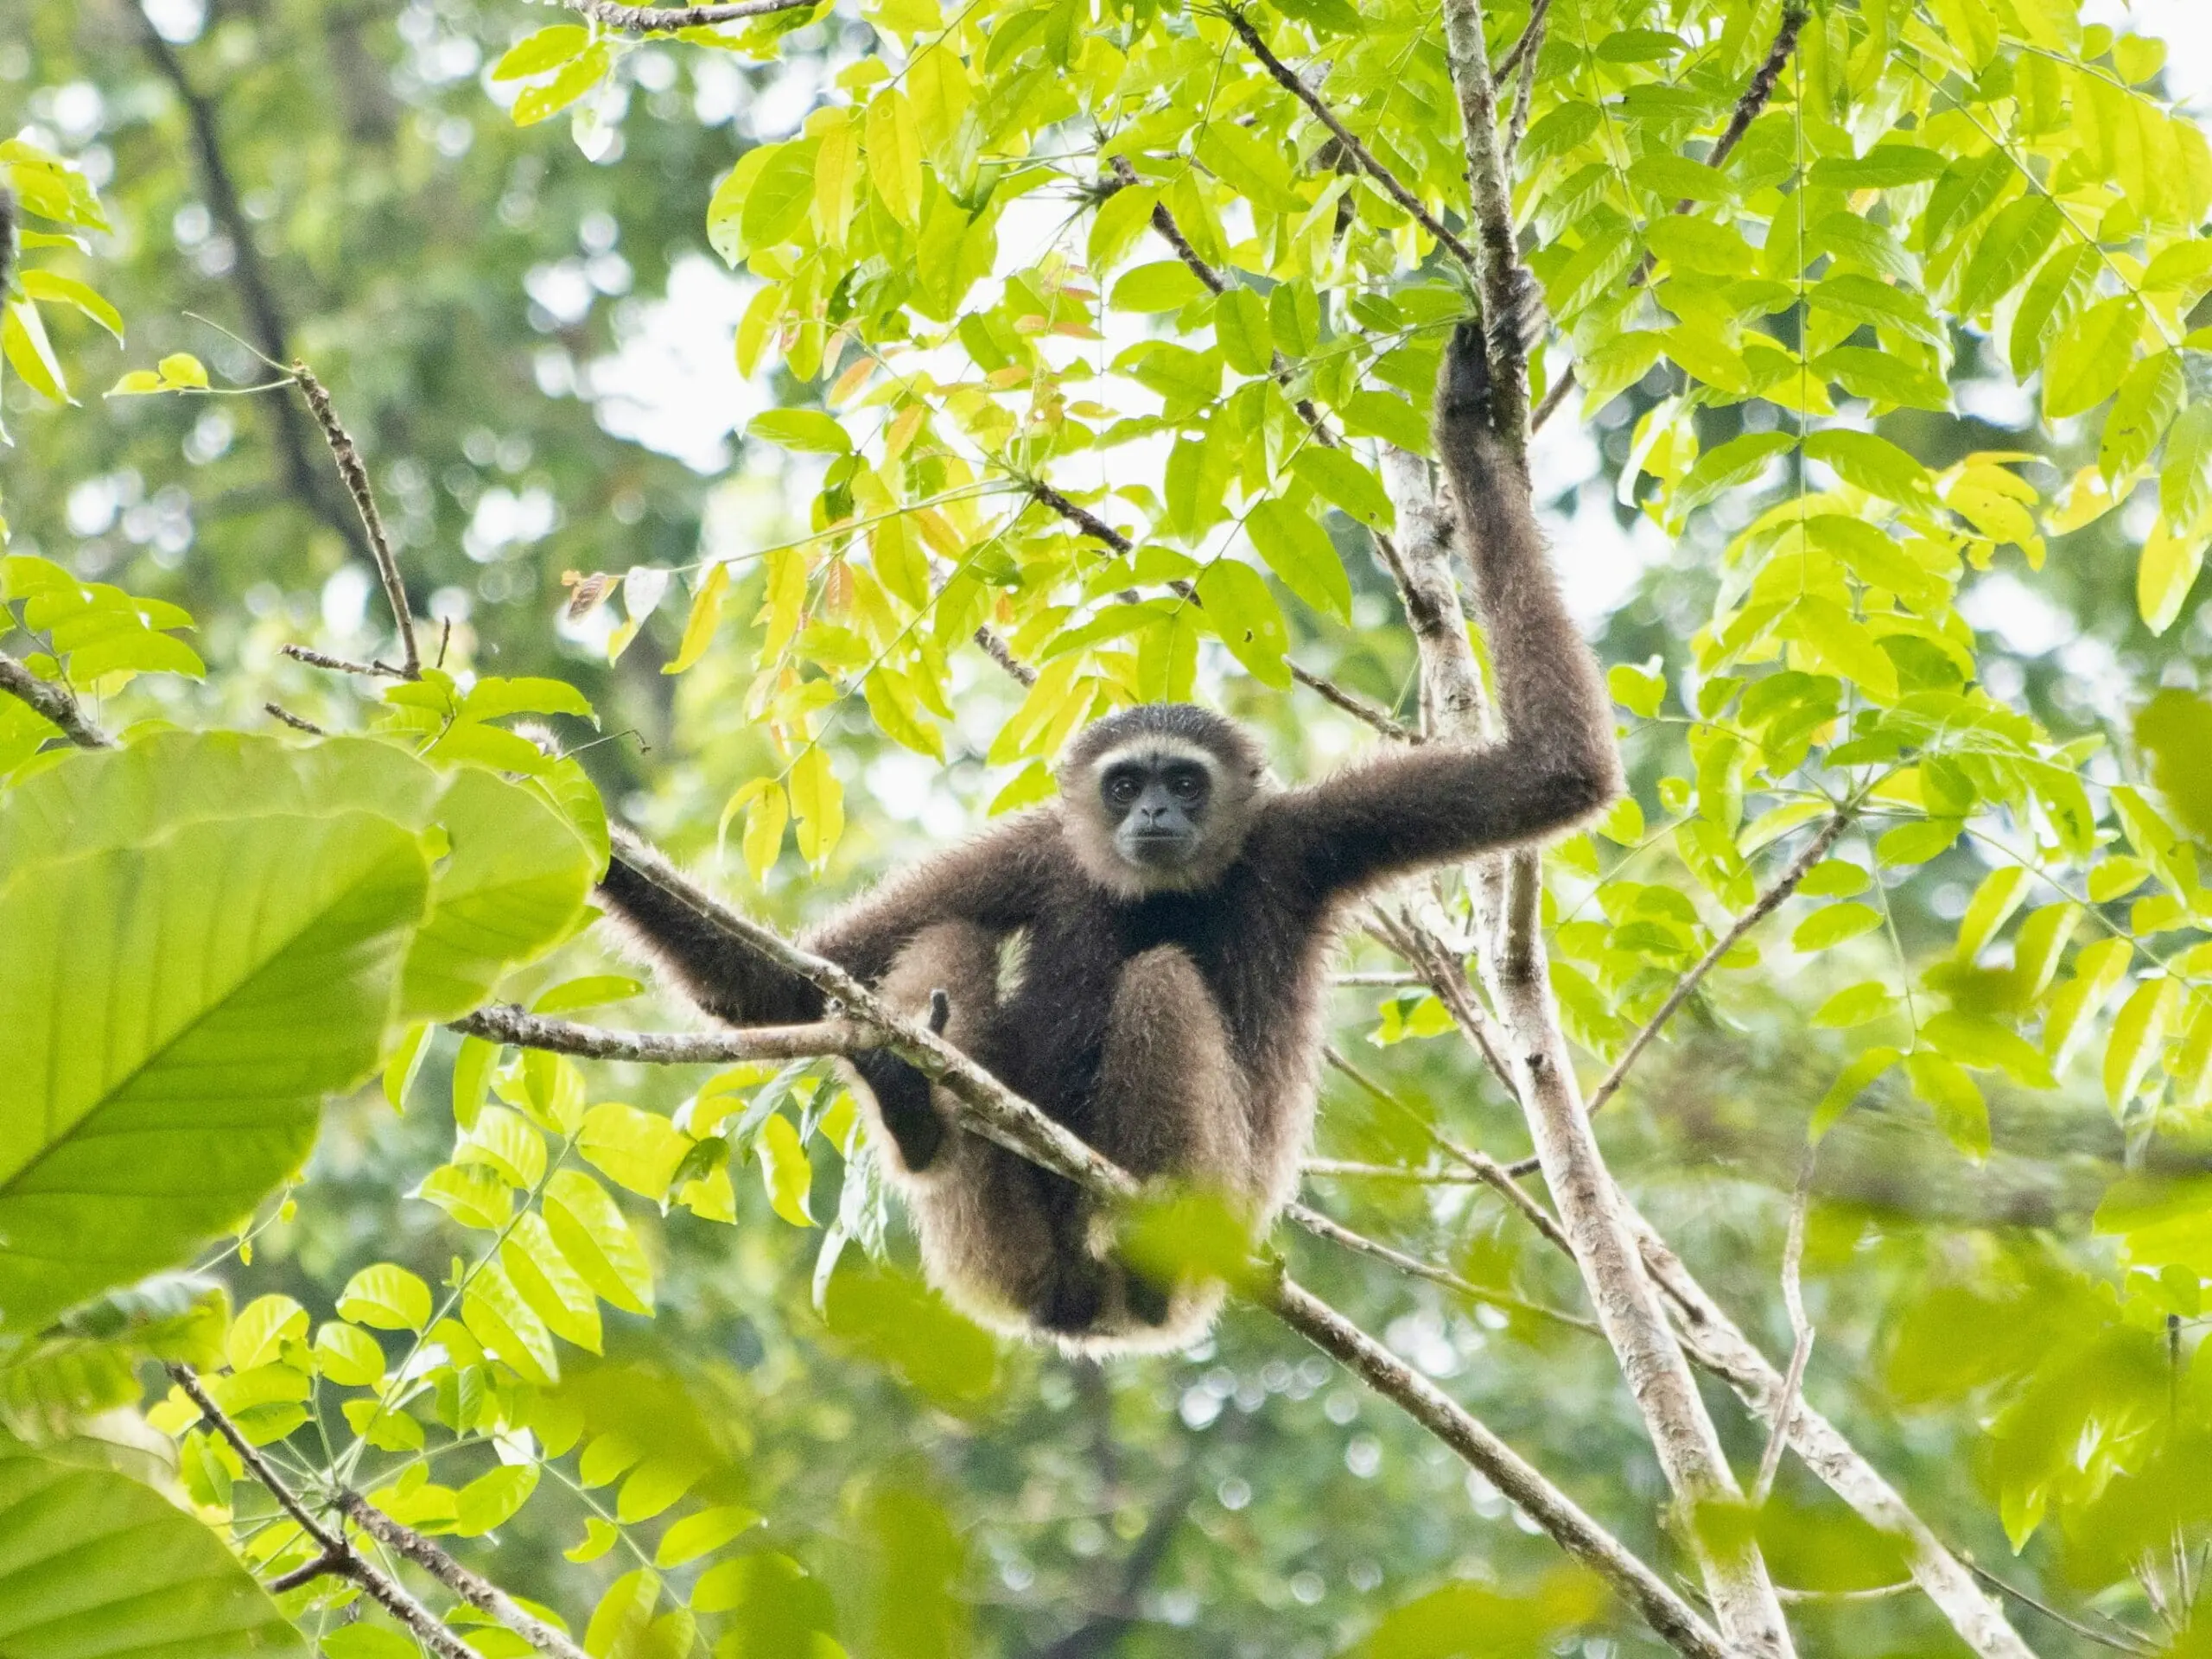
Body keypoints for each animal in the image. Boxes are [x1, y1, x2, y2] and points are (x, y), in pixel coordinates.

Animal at [596, 308, 1621, 1354]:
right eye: (1127, 785)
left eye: (1183, 782)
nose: (1156, 813)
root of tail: (1079, 1309)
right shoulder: (1038, 849)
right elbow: (766, 986)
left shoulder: (1309, 835)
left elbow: (1556, 771)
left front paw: (1464, 427)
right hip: (995, 1249)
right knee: (951, 937)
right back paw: (913, 1112)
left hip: (1214, 1225)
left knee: (1161, 980)